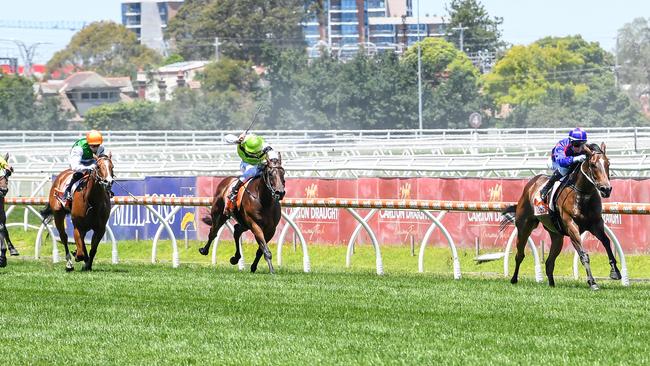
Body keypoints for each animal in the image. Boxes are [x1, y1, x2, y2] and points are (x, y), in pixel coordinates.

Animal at [498, 143, 616, 288]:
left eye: (608, 163)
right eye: (593, 165)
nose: (606, 189)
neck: (582, 195)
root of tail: (531, 184)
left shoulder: (596, 224)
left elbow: (607, 242)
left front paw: (615, 272)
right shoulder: (571, 226)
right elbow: (584, 255)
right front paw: (592, 282)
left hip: (556, 235)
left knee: (549, 262)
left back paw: (552, 284)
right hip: (524, 227)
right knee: (519, 255)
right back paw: (514, 279)